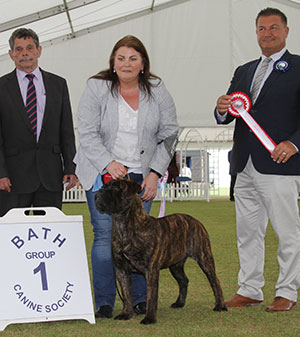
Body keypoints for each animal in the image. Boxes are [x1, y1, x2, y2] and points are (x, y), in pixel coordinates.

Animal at [95, 178, 226, 322]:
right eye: (104, 186)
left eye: (116, 188)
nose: (98, 192)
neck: (123, 225)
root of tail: (196, 221)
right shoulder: (122, 270)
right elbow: (127, 294)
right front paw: (126, 314)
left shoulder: (151, 270)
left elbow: (151, 295)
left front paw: (149, 318)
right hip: (175, 265)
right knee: (183, 281)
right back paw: (179, 303)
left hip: (204, 259)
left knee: (215, 281)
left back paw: (220, 305)